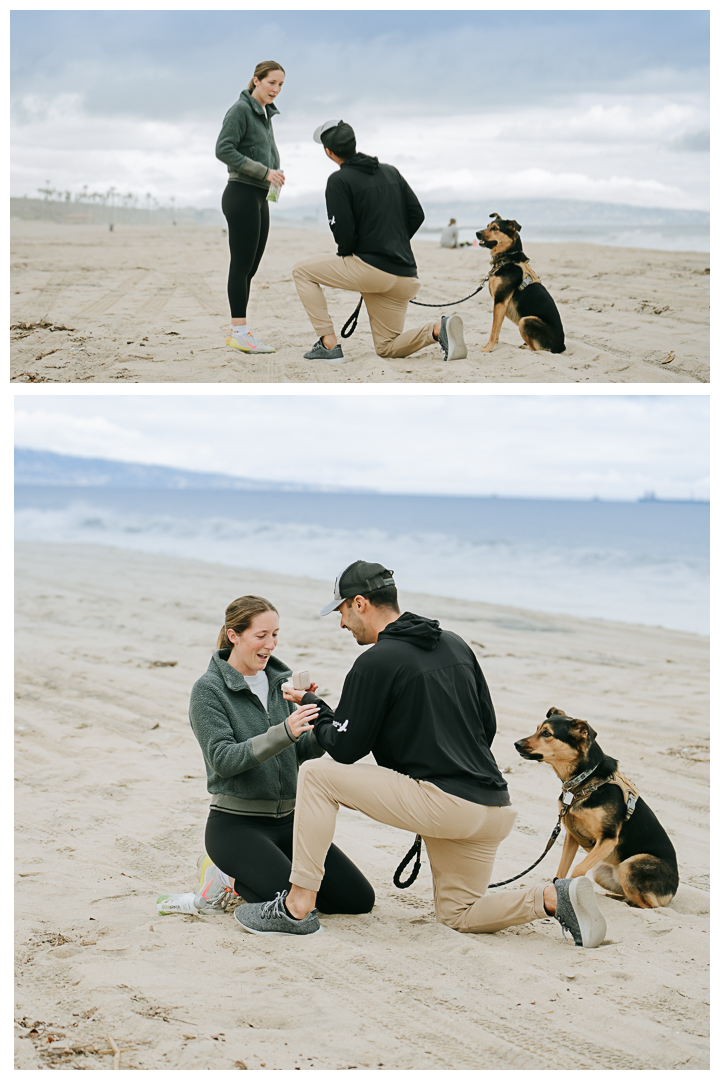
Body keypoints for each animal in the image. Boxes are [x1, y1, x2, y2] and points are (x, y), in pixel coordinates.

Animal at [474, 213, 565, 354]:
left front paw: (488, 348)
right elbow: (497, 330)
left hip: (526, 320)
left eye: (495, 228)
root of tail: (562, 346)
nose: (477, 233)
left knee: (538, 350)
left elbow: (494, 331)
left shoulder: (500, 301)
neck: (506, 259)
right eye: (487, 226)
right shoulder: (500, 305)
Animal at [515, 704, 677, 907]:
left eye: (546, 733)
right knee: (630, 897)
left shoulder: (608, 839)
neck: (585, 780)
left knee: (649, 905)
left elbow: (577, 869)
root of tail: (673, 890)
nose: (516, 744)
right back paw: (614, 898)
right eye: (537, 729)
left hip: (629, 865)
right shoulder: (571, 836)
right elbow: (561, 871)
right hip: (601, 870)